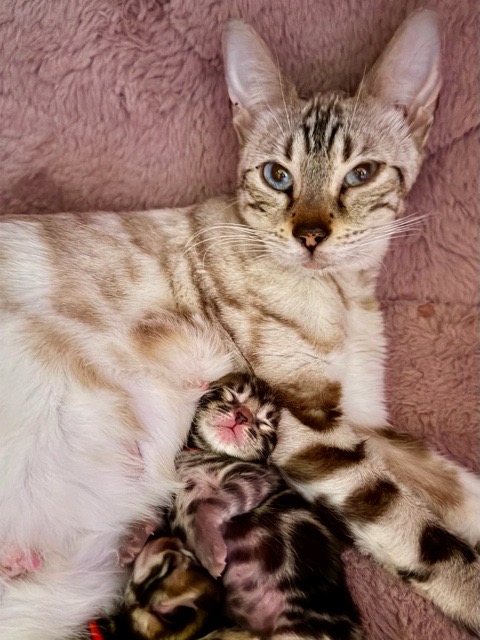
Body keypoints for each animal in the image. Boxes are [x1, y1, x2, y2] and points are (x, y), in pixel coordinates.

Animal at [172, 372, 364, 640]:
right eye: (232, 395)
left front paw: (210, 551)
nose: (242, 415)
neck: (198, 454)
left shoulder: (256, 479)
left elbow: (208, 504)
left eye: (264, 423)